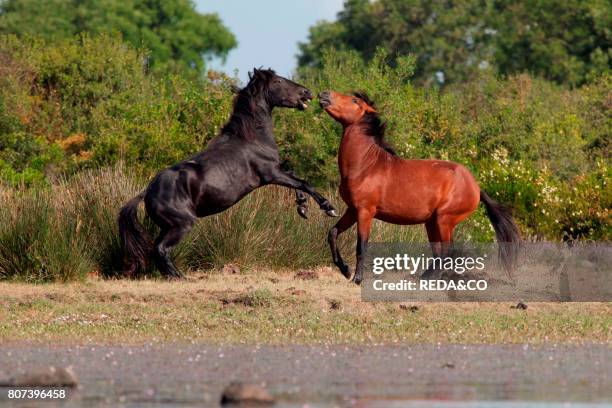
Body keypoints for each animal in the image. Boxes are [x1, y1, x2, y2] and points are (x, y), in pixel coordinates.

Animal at [118, 69, 340, 278]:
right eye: (278, 80)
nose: (307, 93)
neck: (251, 137)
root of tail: (147, 192)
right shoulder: (270, 174)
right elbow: (304, 182)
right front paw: (328, 208)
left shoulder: (276, 173)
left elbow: (297, 179)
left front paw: (302, 207)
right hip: (181, 225)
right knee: (161, 250)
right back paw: (179, 277)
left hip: (167, 226)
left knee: (156, 250)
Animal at [318, 91, 520, 284]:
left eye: (355, 101)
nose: (324, 94)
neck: (366, 166)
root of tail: (476, 187)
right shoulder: (352, 209)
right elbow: (332, 233)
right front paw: (345, 270)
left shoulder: (365, 211)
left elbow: (361, 246)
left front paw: (357, 279)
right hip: (432, 223)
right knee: (438, 253)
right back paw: (426, 278)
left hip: (444, 220)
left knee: (447, 251)